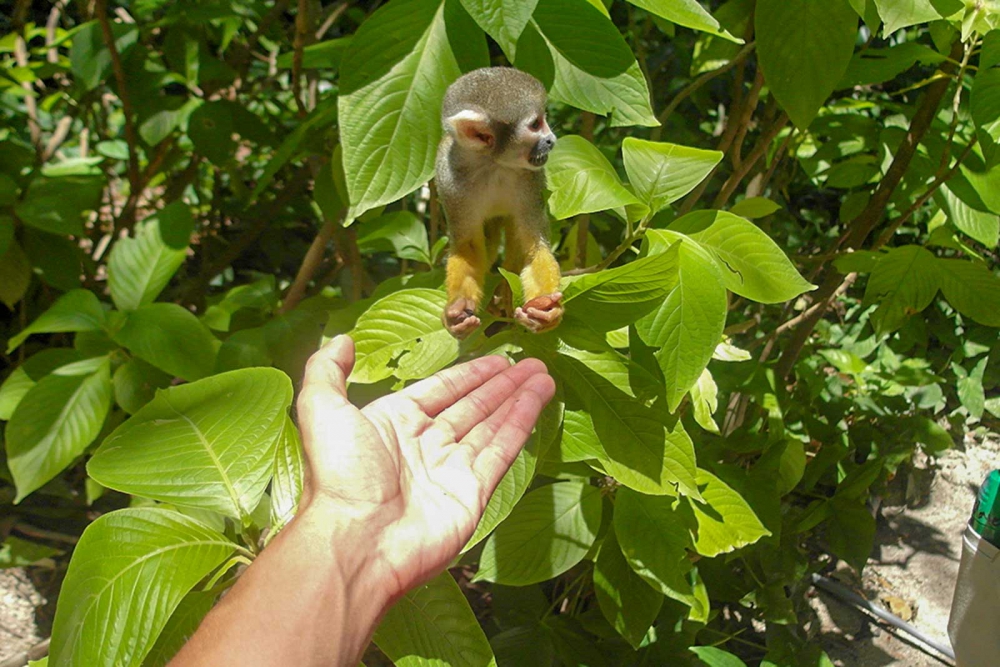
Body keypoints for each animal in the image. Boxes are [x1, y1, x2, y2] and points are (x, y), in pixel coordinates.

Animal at [435, 67, 563, 339]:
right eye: (535, 124)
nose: (551, 139)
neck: (492, 164)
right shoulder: (450, 181)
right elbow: (468, 248)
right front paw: (456, 312)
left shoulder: (531, 178)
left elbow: (532, 245)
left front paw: (547, 313)